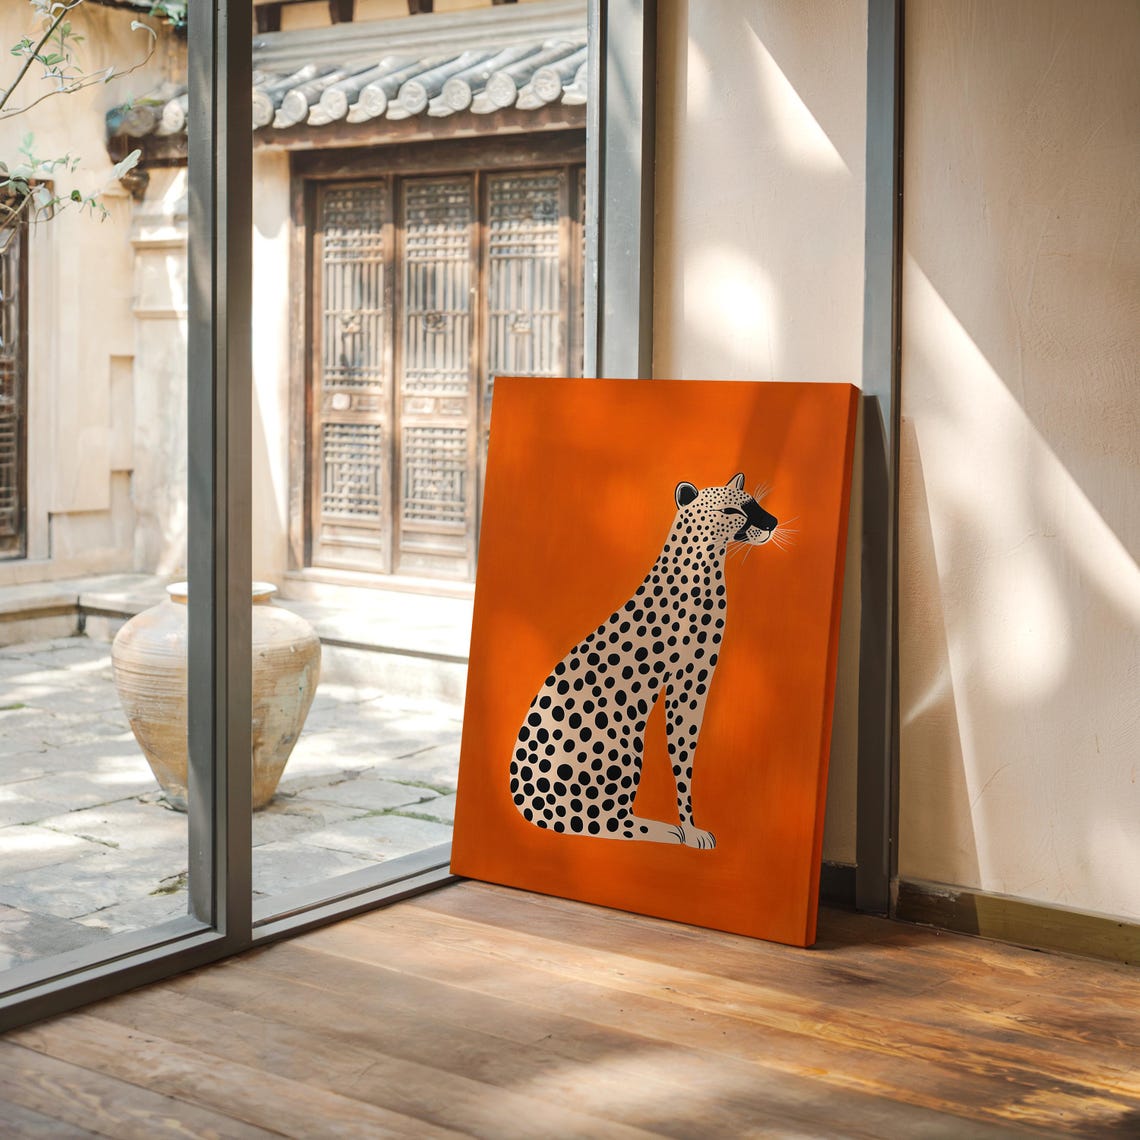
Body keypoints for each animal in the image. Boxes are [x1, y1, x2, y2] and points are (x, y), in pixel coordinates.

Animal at [508, 473, 778, 850]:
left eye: (753, 503)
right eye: (730, 511)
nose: (771, 523)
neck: (705, 564)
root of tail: (521, 799)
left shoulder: (696, 678)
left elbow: (685, 752)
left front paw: (691, 826)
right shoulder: (688, 681)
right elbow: (682, 752)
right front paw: (690, 829)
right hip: (621, 746)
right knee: (603, 822)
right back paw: (664, 831)